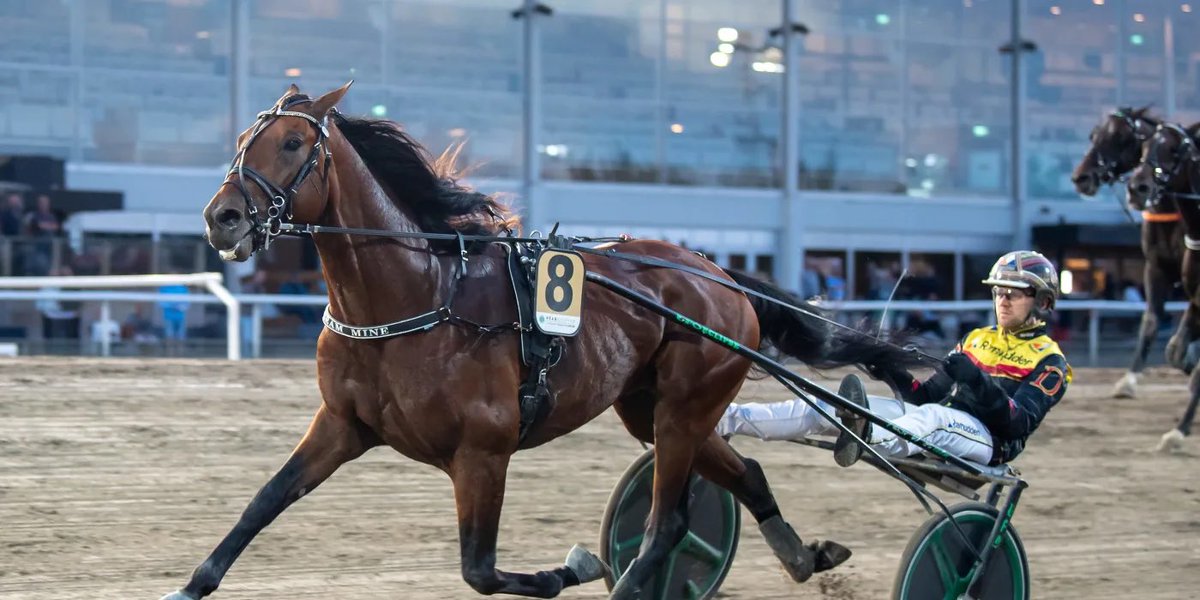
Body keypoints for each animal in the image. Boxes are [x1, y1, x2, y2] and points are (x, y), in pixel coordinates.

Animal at [158, 82, 926, 600]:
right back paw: (803, 556)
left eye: (292, 144)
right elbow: (261, 503)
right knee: (741, 477)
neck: (414, 299)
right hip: (652, 409)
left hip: (686, 404)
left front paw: (573, 566)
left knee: (664, 524)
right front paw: (189, 584)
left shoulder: (483, 450)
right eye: (241, 143)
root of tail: (715, 272)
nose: (222, 218)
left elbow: (479, 568)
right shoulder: (342, 425)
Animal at [1071, 107, 1184, 399]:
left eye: (1120, 138)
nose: (1081, 177)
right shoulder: (1156, 266)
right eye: (1093, 135)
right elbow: (1151, 319)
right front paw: (1128, 380)